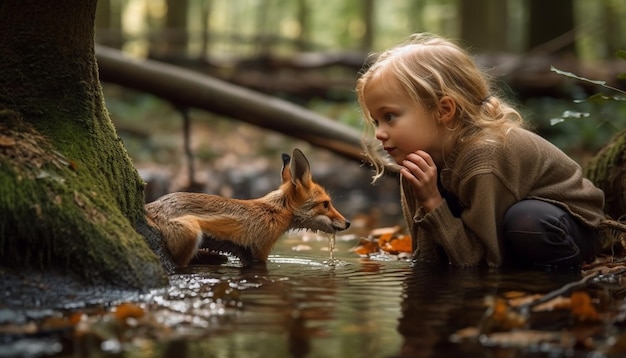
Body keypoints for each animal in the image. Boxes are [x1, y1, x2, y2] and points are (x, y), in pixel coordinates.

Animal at [146, 147, 352, 268]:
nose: (348, 223)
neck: (275, 212)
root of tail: (149, 208)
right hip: (191, 233)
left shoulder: (244, 254)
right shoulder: (260, 252)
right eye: (325, 204)